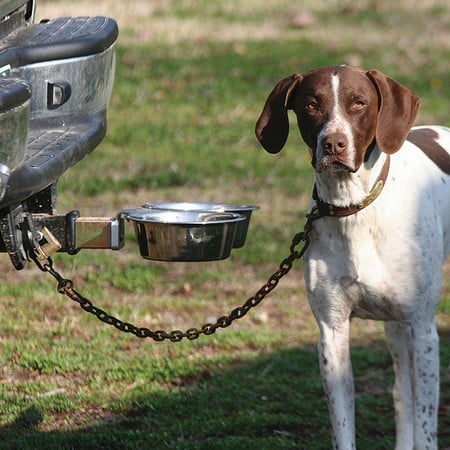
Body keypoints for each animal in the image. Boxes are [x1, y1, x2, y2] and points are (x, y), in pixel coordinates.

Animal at [255, 65, 448, 448]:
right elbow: (344, 425)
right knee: (401, 392)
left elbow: (426, 426)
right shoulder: (332, 332)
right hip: (395, 326)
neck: (354, 208)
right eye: (311, 104)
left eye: (359, 103)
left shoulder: (423, 330)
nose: (333, 144)